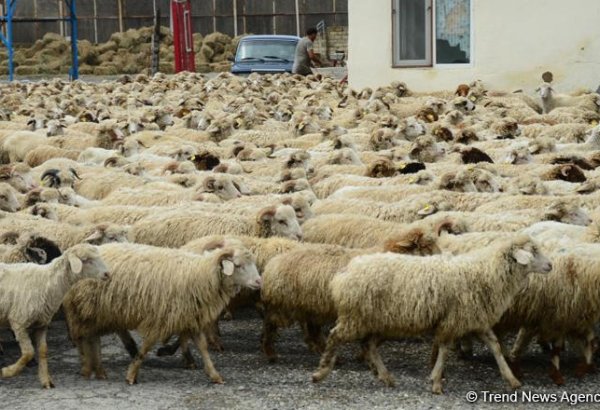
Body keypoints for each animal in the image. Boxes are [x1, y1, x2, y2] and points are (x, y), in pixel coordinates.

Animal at [0, 243, 109, 388]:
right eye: (86, 260)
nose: (108, 274)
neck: (47, 282)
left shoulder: (41, 324)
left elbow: (42, 351)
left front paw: (46, 380)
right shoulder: (19, 323)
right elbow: (29, 353)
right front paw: (8, 371)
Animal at [62, 242, 262, 382]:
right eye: (238, 265)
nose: (259, 281)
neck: (200, 274)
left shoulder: (190, 316)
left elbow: (202, 347)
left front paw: (214, 375)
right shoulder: (160, 316)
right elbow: (147, 345)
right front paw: (132, 374)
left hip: (104, 310)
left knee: (98, 336)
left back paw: (103, 366)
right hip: (84, 309)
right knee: (82, 338)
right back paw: (87, 366)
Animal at [312, 235, 552, 392]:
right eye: (533, 251)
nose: (550, 265)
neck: (486, 272)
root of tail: (346, 271)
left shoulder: (476, 319)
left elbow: (495, 347)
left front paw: (511, 379)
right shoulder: (453, 320)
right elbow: (444, 349)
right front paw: (436, 382)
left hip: (378, 320)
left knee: (368, 345)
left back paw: (386, 377)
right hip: (356, 316)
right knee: (335, 336)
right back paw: (321, 372)